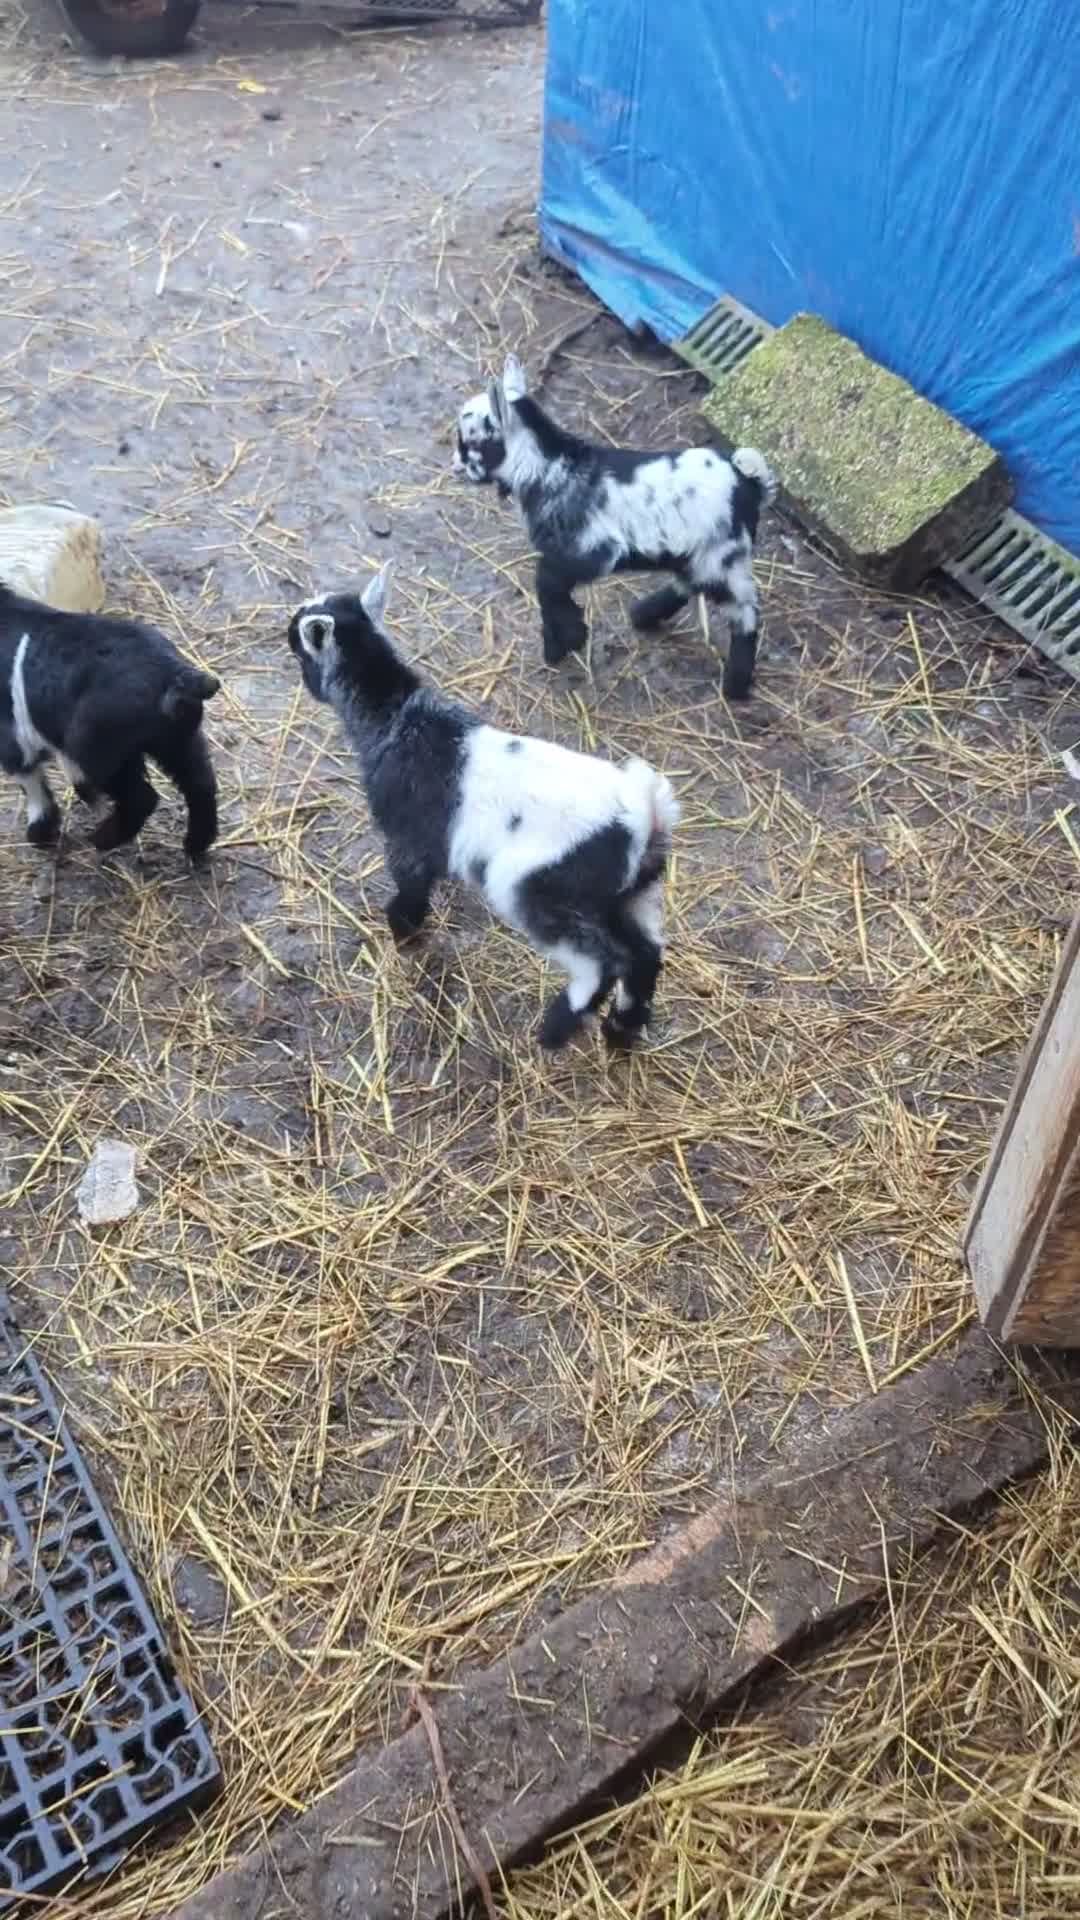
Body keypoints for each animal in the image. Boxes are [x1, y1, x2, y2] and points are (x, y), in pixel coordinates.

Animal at [0, 583, 219, 857]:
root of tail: (175, 674)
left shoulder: (16, 740)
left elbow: (31, 782)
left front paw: (40, 834)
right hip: (176, 737)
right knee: (200, 782)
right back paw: (196, 844)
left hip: (98, 747)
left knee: (142, 798)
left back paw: (102, 839)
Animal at [288, 564, 679, 1050]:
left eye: (301, 650)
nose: (289, 635)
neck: (398, 717)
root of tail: (643, 818)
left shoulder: (409, 835)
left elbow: (411, 884)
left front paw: (403, 929)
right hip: (629, 893)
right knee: (644, 953)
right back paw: (621, 1029)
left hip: (533, 889)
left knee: (601, 962)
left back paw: (556, 1028)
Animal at [453, 355, 775, 699]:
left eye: (469, 441)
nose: (455, 466)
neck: (550, 468)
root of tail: (750, 483)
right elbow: (548, 585)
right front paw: (563, 639)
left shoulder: (592, 551)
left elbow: (546, 584)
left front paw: (567, 638)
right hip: (697, 554)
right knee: (689, 583)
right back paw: (644, 614)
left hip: (725, 556)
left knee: (745, 612)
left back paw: (735, 686)